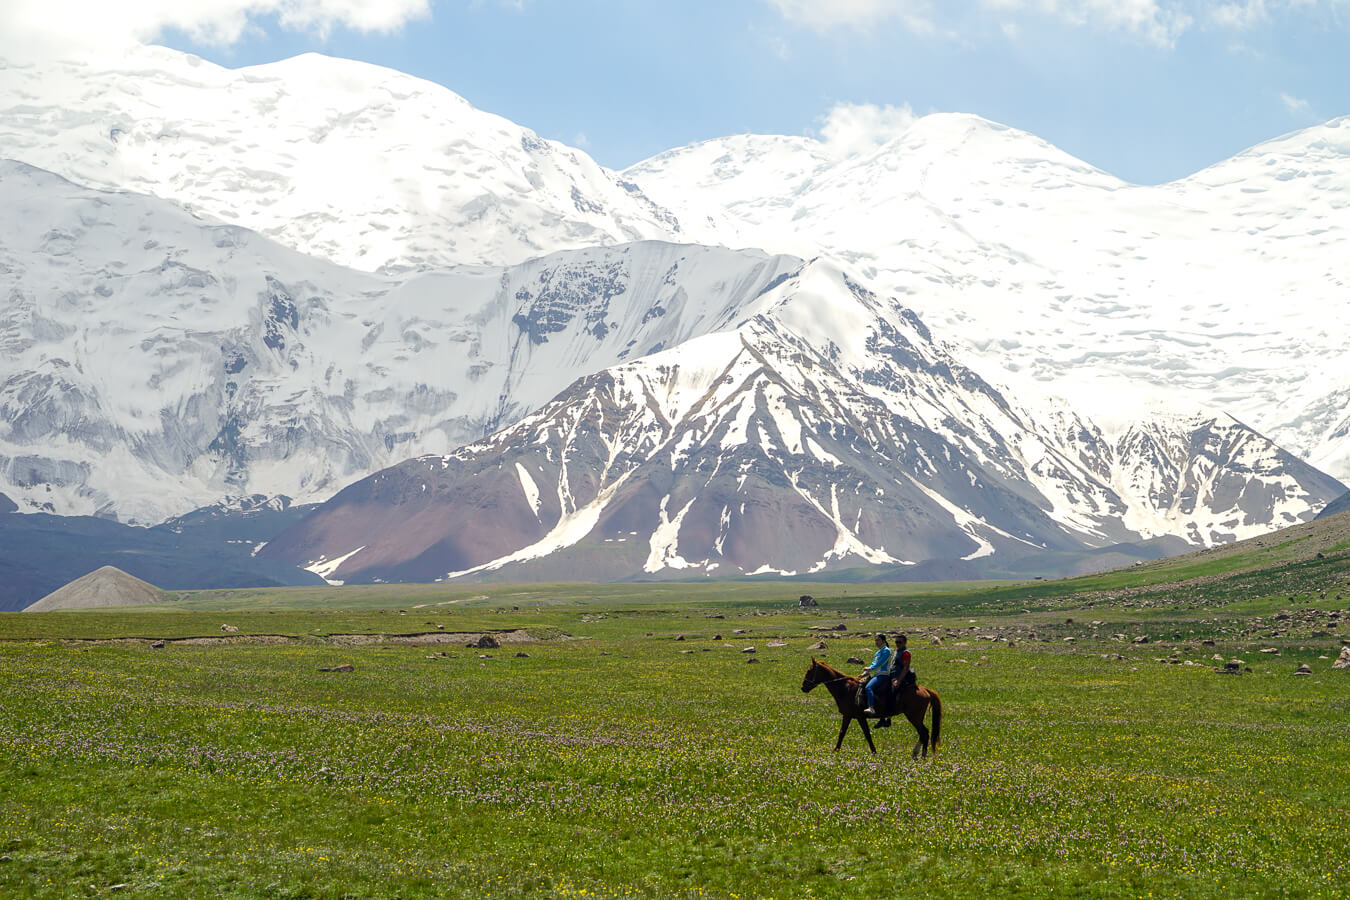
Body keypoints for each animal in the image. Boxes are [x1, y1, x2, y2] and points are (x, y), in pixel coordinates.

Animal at [793, 658, 945, 755]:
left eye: (809, 671)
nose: (803, 687)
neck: (845, 688)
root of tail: (925, 690)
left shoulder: (852, 716)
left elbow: (848, 733)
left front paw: (836, 750)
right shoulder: (856, 716)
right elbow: (860, 733)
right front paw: (873, 751)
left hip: (914, 717)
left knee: (924, 733)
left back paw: (921, 755)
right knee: (924, 734)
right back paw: (917, 754)